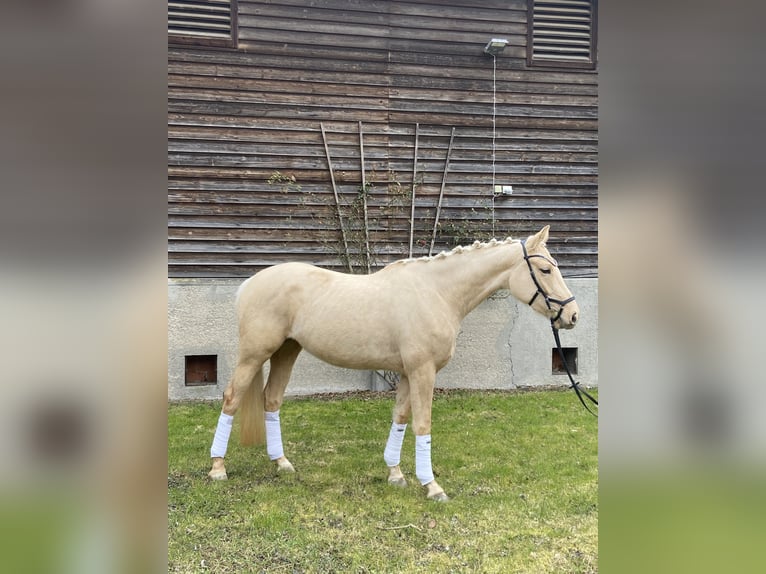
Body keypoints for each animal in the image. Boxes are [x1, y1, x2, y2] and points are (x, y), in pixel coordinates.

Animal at [207, 227, 580, 502]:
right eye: (545, 269)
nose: (573, 315)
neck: (437, 292)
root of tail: (250, 283)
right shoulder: (423, 371)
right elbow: (422, 424)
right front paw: (432, 486)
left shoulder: (406, 373)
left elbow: (400, 418)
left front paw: (395, 475)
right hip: (255, 353)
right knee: (232, 398)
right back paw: (217, 469)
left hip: (287, 350)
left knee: (271, 399)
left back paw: (281, 463)